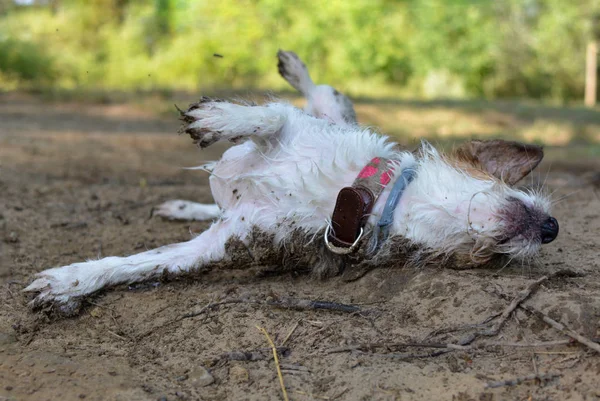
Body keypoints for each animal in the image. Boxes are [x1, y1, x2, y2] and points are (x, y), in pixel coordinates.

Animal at [23, 50, 556, 312]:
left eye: (489, 260)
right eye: (508, 185)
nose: (552, 228)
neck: (365, 199)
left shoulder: (219, 245)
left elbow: (144, 263)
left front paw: (72, 281)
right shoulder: (293, 127)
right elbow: (267, 115)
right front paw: (217, 119)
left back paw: (184, 206)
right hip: (326, 110)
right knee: (318, 90)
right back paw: (293, 65)